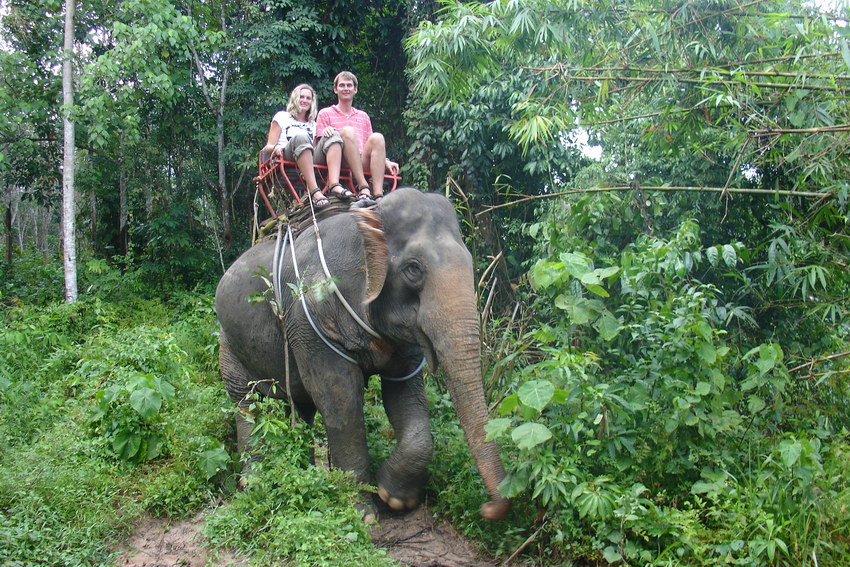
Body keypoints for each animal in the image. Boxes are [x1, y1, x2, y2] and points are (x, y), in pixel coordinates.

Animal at [215, 186, 506, 520]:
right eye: (413, 269)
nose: (488, 507)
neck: (367, 220)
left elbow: (403, 392)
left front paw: (395, 497)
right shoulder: (310, 320)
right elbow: (340, 399)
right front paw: (362, 513)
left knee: (300, 407)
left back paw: (303, 473)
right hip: (228, 343)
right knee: (247, 404)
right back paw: (254, 481)